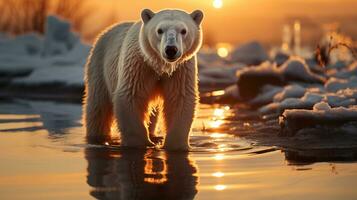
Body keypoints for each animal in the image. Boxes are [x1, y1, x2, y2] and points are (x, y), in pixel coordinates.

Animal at [81, 9, 202, 150]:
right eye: (159, 30)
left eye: (183, 30)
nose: (171, 49)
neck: (160, 65)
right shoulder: (138, 65)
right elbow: (131, 96)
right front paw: (141, 143)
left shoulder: (181, 70)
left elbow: (180, 99)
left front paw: (175, 145)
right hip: (99, 66)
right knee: (98, 107)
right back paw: (97, 137)